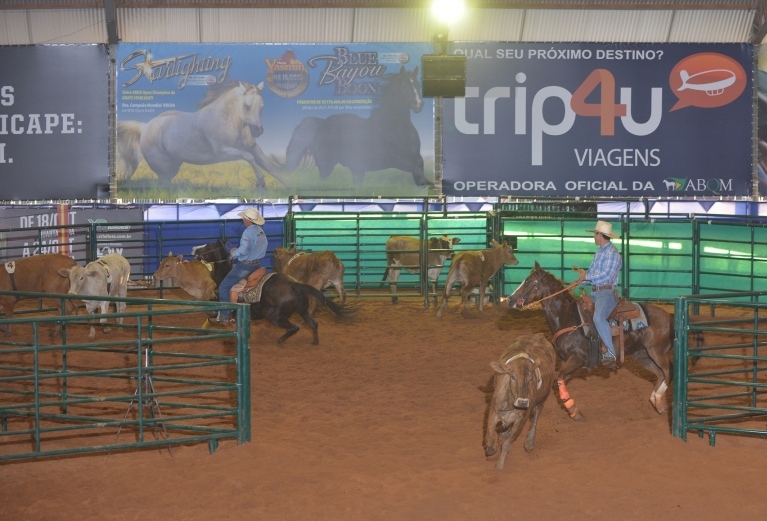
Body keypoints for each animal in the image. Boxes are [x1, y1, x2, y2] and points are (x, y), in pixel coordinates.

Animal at [195, 241, 356, 346]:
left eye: (208, 246)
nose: (195, 251)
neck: (224, 275)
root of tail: (294, 284)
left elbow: (212, 317)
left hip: (275, 317)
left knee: (294, 328)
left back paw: (280, 340)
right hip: (302, 309)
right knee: (313, 323)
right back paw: (314, 342)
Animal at [282, 65, 432, 187]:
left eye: (418, 85)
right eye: (404, 86)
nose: (418, 104)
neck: (395, 129)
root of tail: (322, 122)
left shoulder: (417, 159)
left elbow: (421, 172)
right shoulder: (396, 160)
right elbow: (417, 172)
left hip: (356, 169)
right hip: (326, 165)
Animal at [484, 334, 556, 472]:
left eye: (531, 378)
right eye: (513, 377)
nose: (523, 402)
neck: (510, 402)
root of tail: (539, 335)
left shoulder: (521, 419)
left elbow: (508, 443)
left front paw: (499, 465)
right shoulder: (493, 410)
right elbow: (490, 439)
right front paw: (494, 447)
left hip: (543, 398)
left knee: (536, 416)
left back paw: (529, 443)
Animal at [508, 262, 676, 416]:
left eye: (528, 281)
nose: (510, 299)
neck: (568, 318)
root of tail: (669, 316)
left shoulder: (578, 358)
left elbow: (559, 376)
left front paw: (572, 409)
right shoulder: (567, 361)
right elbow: (558, 380)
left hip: (656, 350)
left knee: (668, 370)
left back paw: (658, 397)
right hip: (641, 355)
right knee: (660, 374)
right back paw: (657, 401)